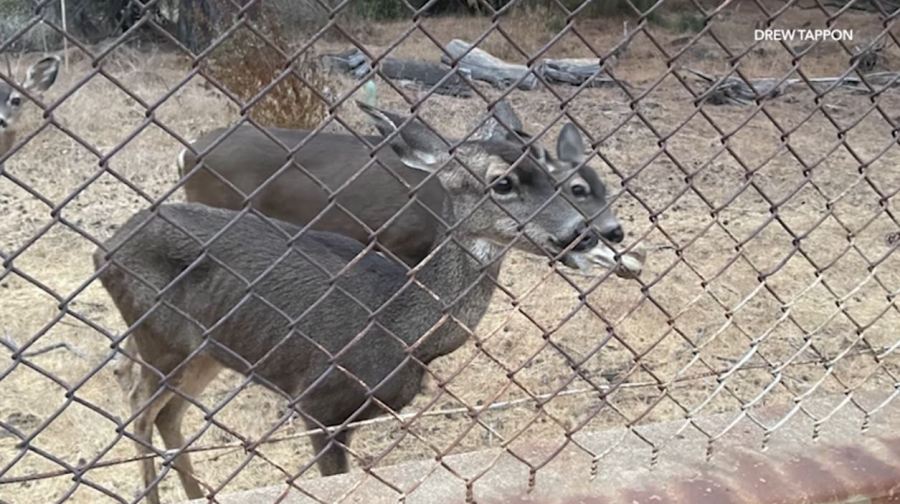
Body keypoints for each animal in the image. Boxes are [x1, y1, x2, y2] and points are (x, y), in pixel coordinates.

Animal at [94, 101, 612, 503]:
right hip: (160, 335)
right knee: (138, 409)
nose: (588, 233)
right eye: (502, 182)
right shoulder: (318, 400)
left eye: (553, 175)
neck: (402, 329)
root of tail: (106, 249)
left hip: (208, 348)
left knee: (166, 413)